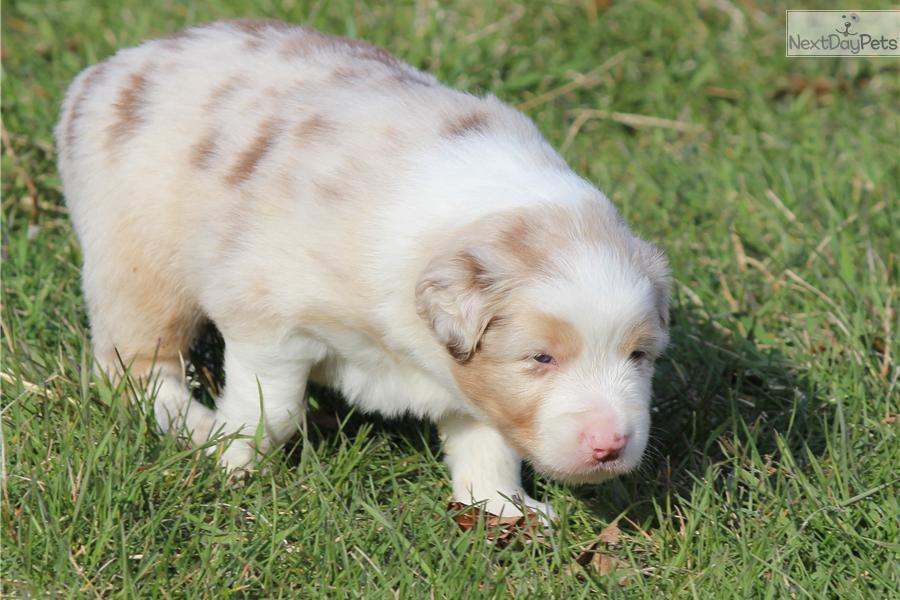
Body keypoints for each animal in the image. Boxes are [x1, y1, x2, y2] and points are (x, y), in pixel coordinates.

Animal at [56, 19, 668, 520]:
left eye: (639, 356)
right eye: (541, 358)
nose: (610, 445)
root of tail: (112, 67)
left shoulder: (470, 382)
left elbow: (488, 443)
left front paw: (504, 509)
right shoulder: (269, 322)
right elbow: (270, 408)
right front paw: (234, 465)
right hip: (135, 262)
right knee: (134, 366)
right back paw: (197, 425)